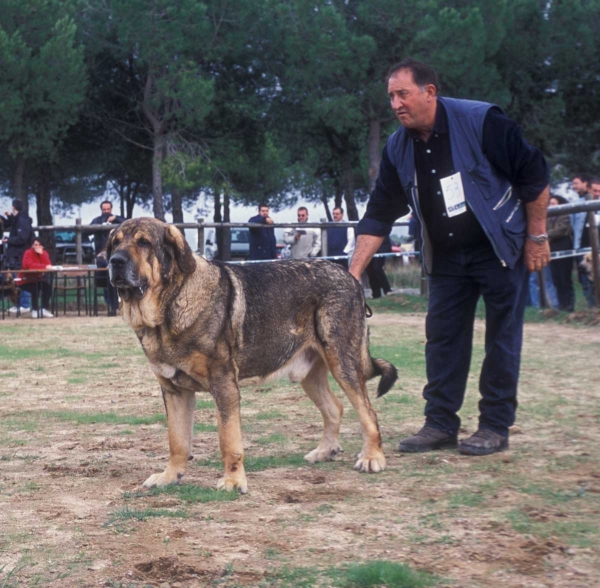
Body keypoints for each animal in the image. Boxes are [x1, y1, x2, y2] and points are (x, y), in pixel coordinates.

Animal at [109, 218, 398, 494]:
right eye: (115, 243)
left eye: (144, 242)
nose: (115, 261)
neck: (170, 306)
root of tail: (349, 277)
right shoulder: (174, 391)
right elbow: (177, 441)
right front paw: (169, 477)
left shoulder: (224, 385)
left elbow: (228, 440)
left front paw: (233, 481)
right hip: (311, 374)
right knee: (334, 408)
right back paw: (324, 452)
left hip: (343, 363)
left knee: (368, 413)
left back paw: (372, 457)